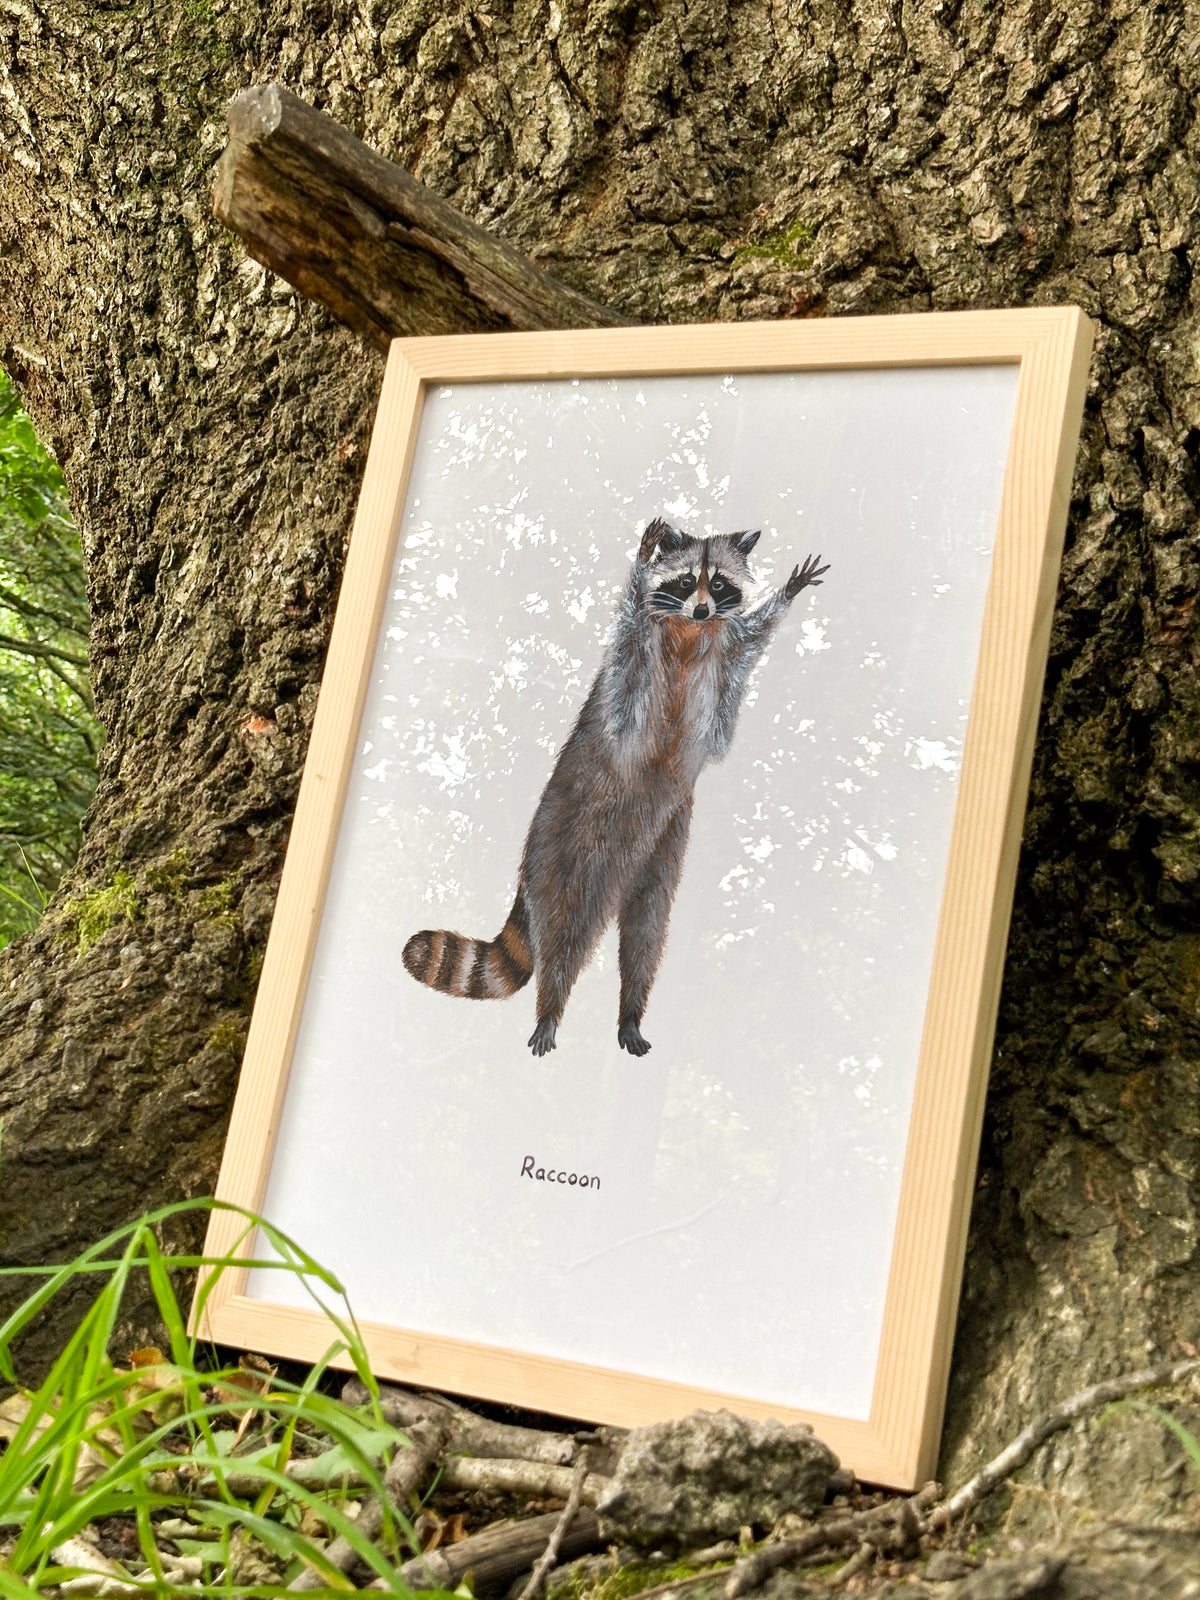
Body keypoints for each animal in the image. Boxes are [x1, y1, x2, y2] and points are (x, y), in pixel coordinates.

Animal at [402, 519, 828, 1056]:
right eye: (686, 582)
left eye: (719, 584)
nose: (704, 608)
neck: (691, 630)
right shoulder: (634, 664)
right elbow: (629, 636)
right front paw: (641, 563)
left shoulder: (725, 651)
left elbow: (750, 642)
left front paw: (786, 594)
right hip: (572, 851)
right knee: (565, 935)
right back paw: (551, 1007)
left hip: (664, 849)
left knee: (647, 934)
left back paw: (631, 1011)